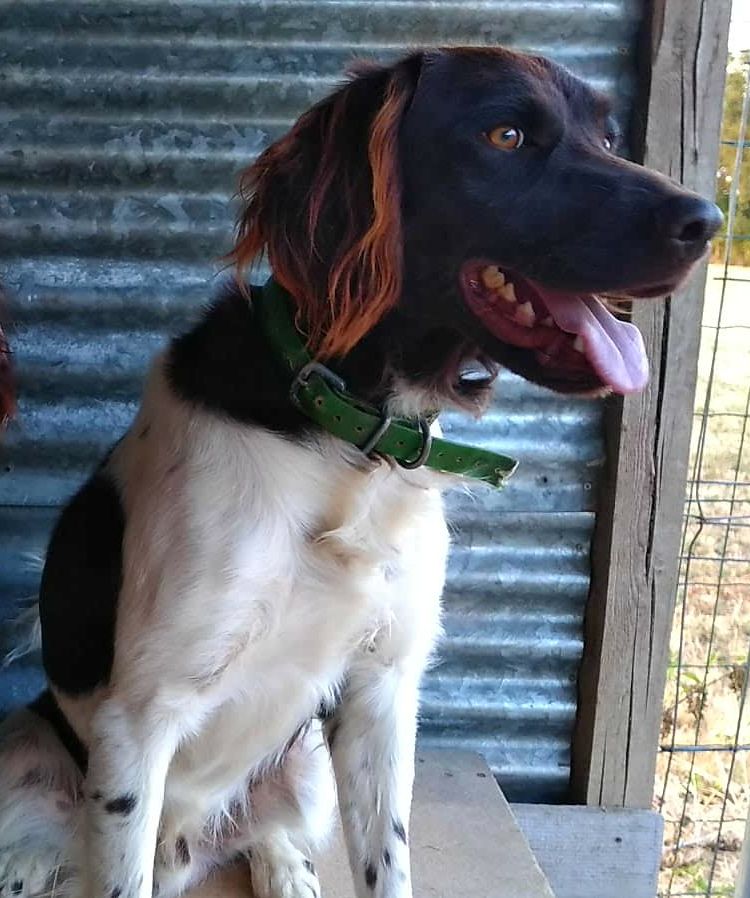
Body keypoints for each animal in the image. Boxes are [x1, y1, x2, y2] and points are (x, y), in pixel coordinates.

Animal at [0, 47, 724, 896]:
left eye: (609, 138)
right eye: (506, 135)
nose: (708, 222)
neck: (349, 439)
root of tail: (185, 848)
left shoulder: (382, 690)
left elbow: (387, 859)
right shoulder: (138, 717)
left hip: (305, 759)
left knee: (268, 834)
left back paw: (289, 871)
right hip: (25, 753)